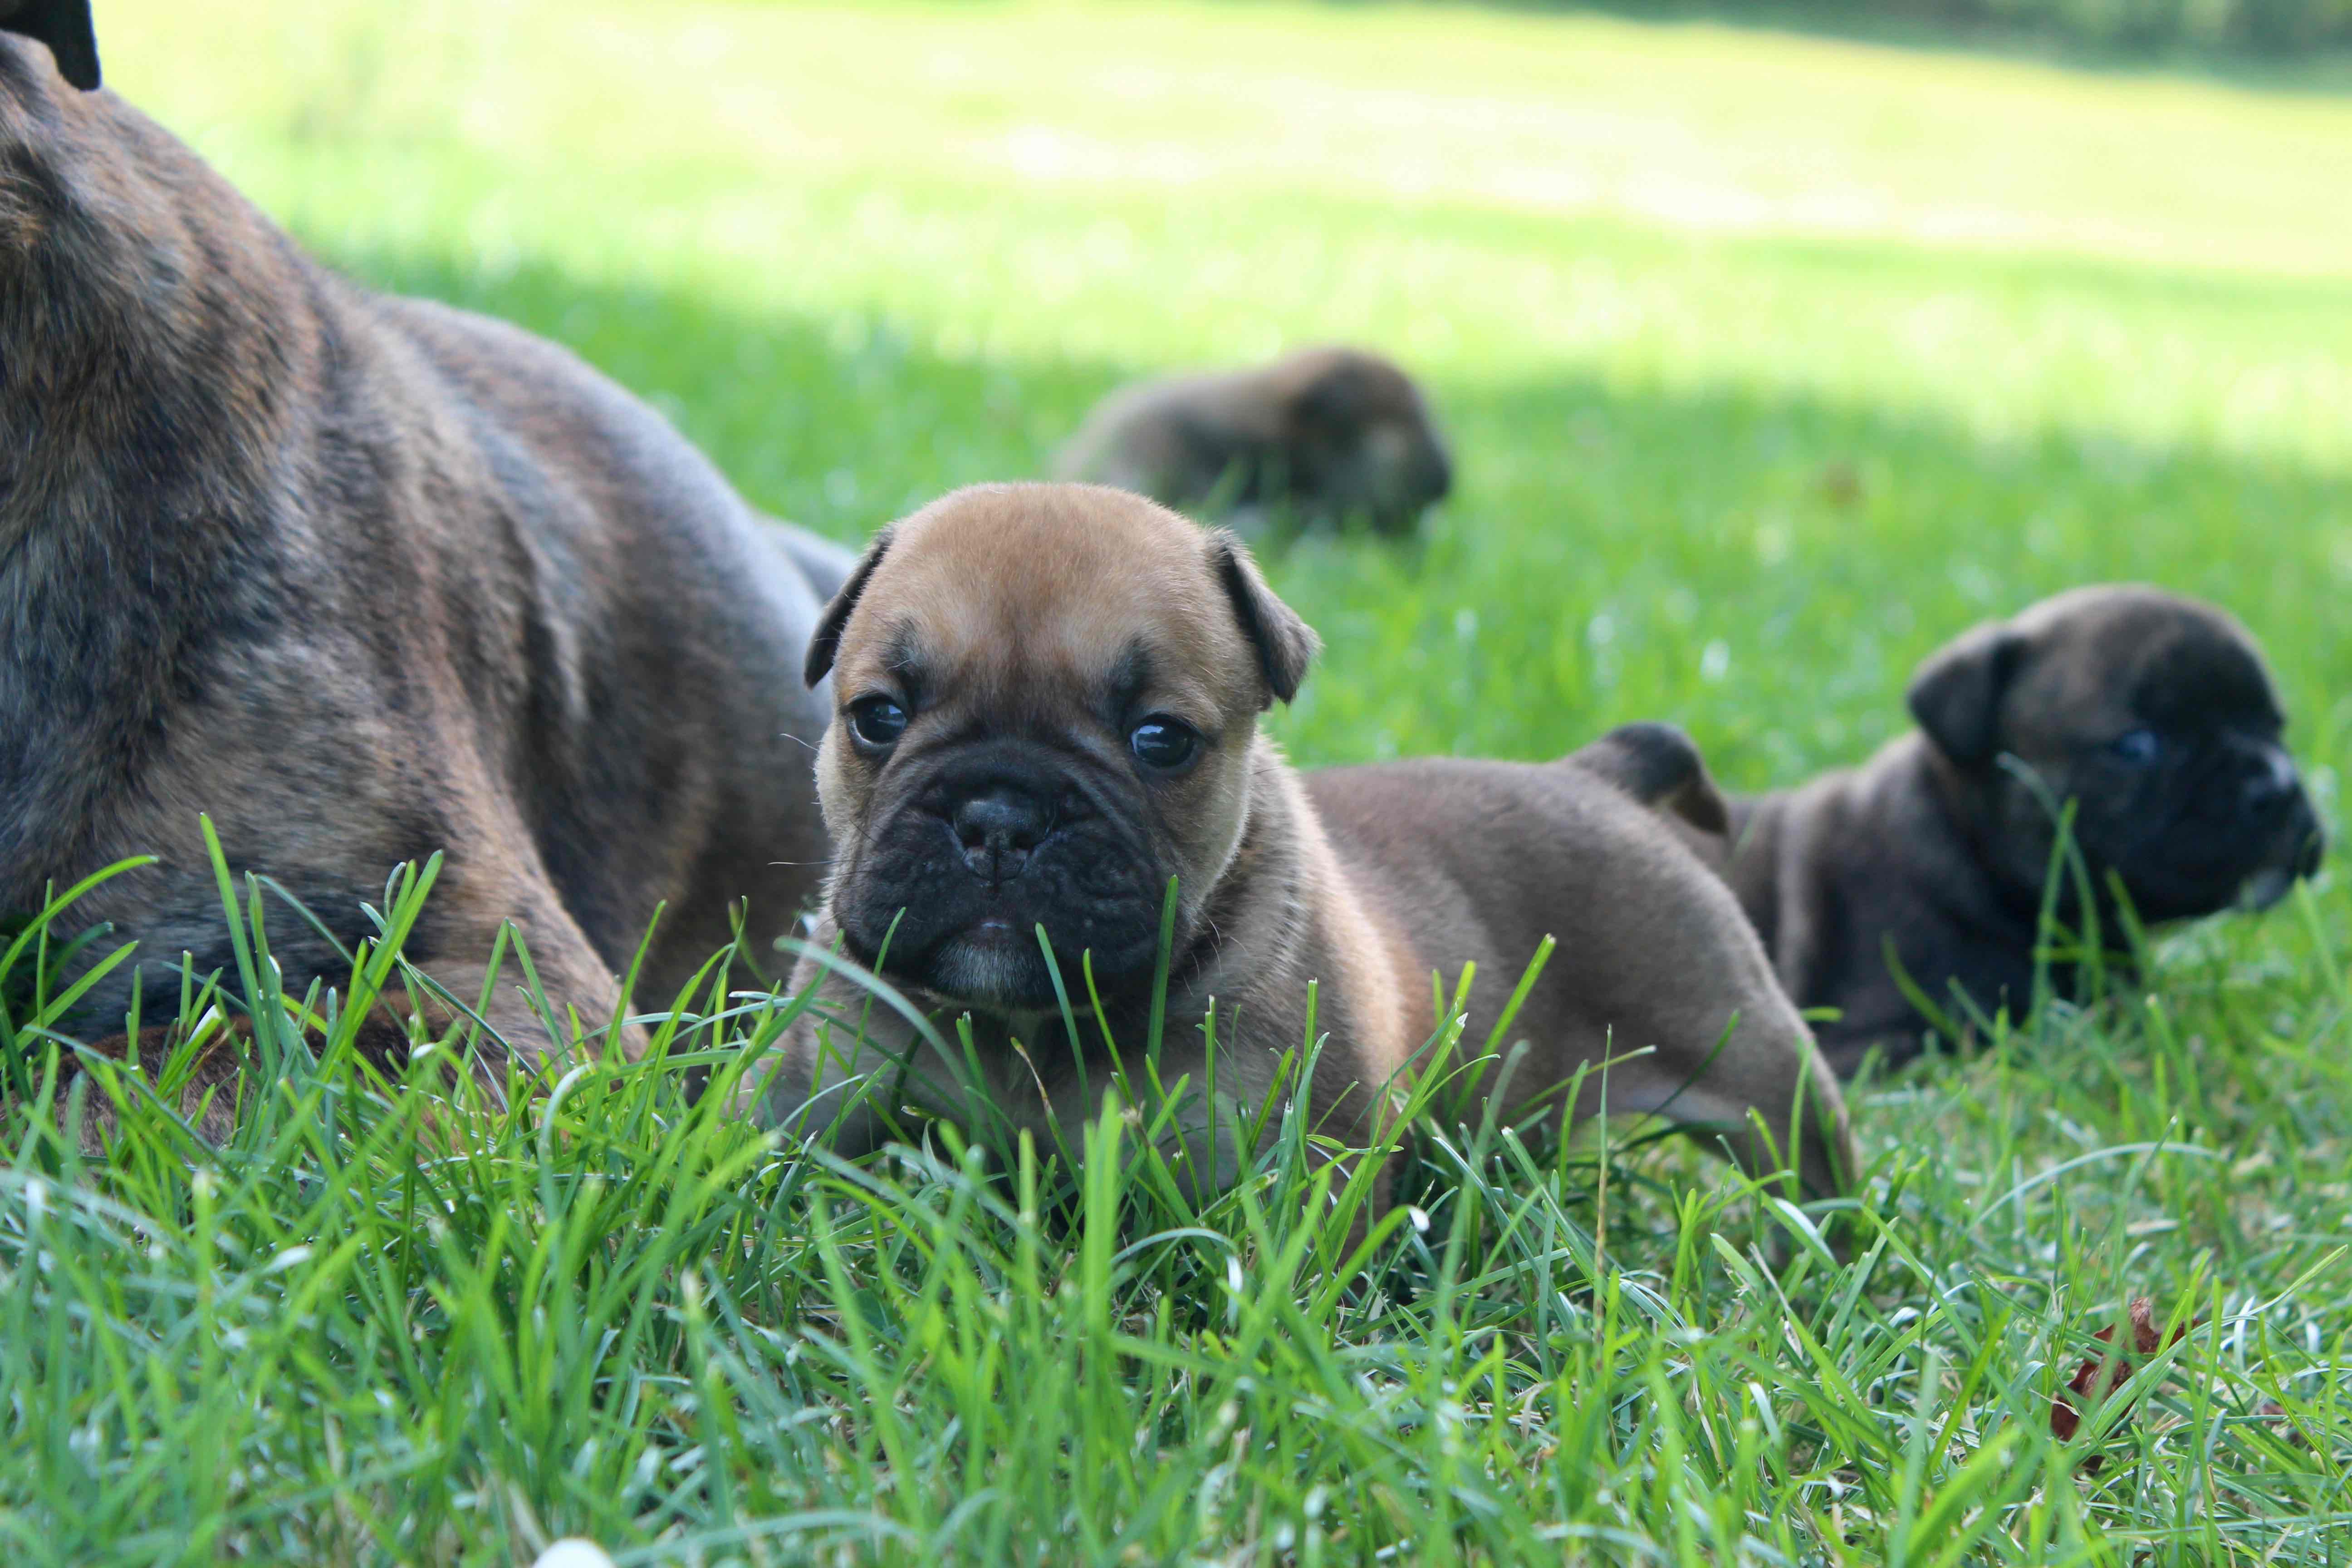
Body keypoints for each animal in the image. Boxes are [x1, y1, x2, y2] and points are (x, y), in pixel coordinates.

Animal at [752, 486, 1853, 1203]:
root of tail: (1596, 775)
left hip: (1747, 1054)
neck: (1032, 1027)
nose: (999, 818)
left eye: (1161, 740)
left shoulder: (1292, 1170)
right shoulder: (829, 1102)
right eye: (878, 717)